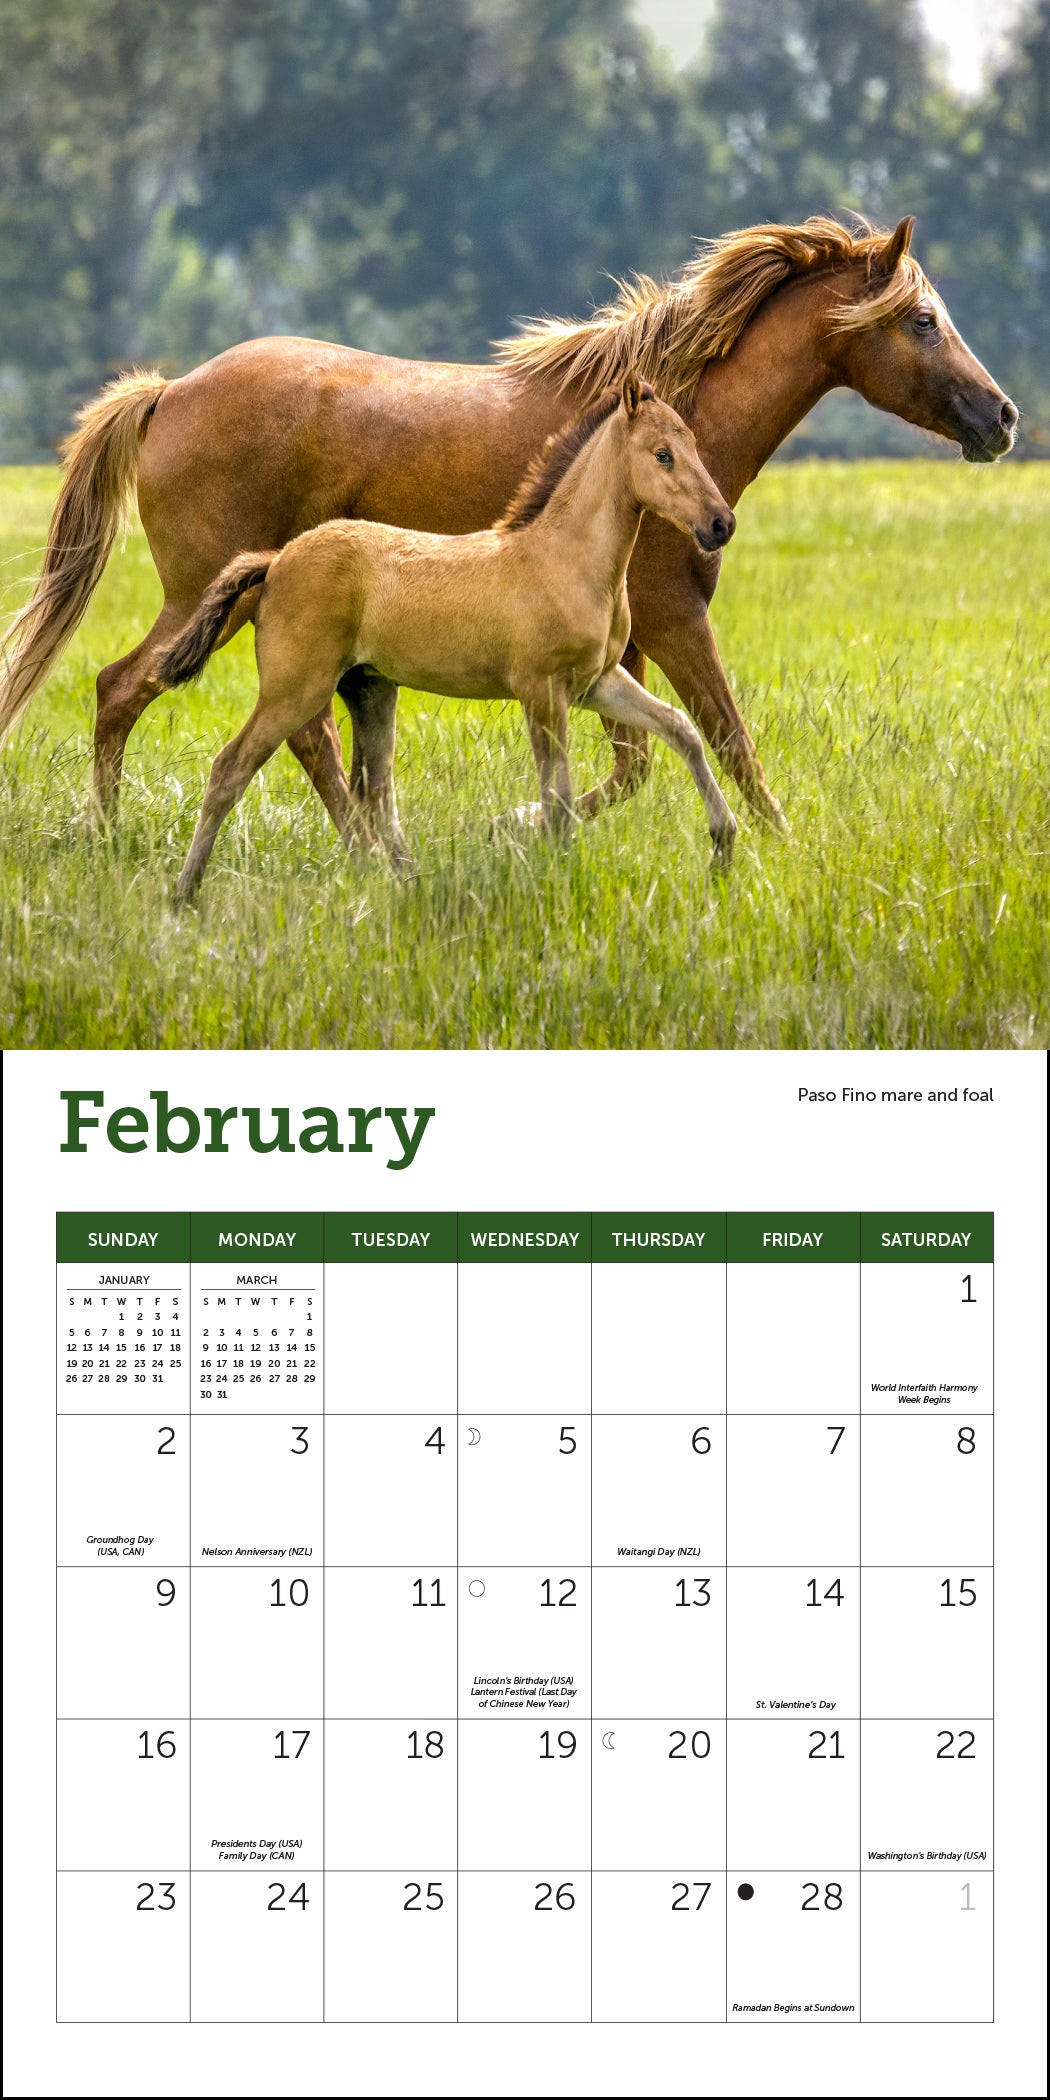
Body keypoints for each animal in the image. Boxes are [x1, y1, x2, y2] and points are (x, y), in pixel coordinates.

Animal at [0, 215, 1016, 847]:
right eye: (924, 320)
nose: (1003, 418)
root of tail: (168, 391)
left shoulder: (621, 644)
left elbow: (641, 762)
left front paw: (515, 827)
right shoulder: (676, 621)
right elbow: (729, 742)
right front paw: (777, 849)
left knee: (296, 734)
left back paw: (362, 847)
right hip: (205, 598)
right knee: (127, 689)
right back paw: (116, 833)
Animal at [156, 376, 738, 901]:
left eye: (692, 444)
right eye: (662, 454)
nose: (720, 523)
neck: (566, 561)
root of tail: (276, 561)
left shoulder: (597, 683)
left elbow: (681, 728)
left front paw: (723, 843)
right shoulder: (541, 691)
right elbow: (558, 797)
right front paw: (557, 879)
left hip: (370, 688)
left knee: (377, 791)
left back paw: (404, 882)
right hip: (294, 689)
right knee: (231, 768)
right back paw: (185, 892)